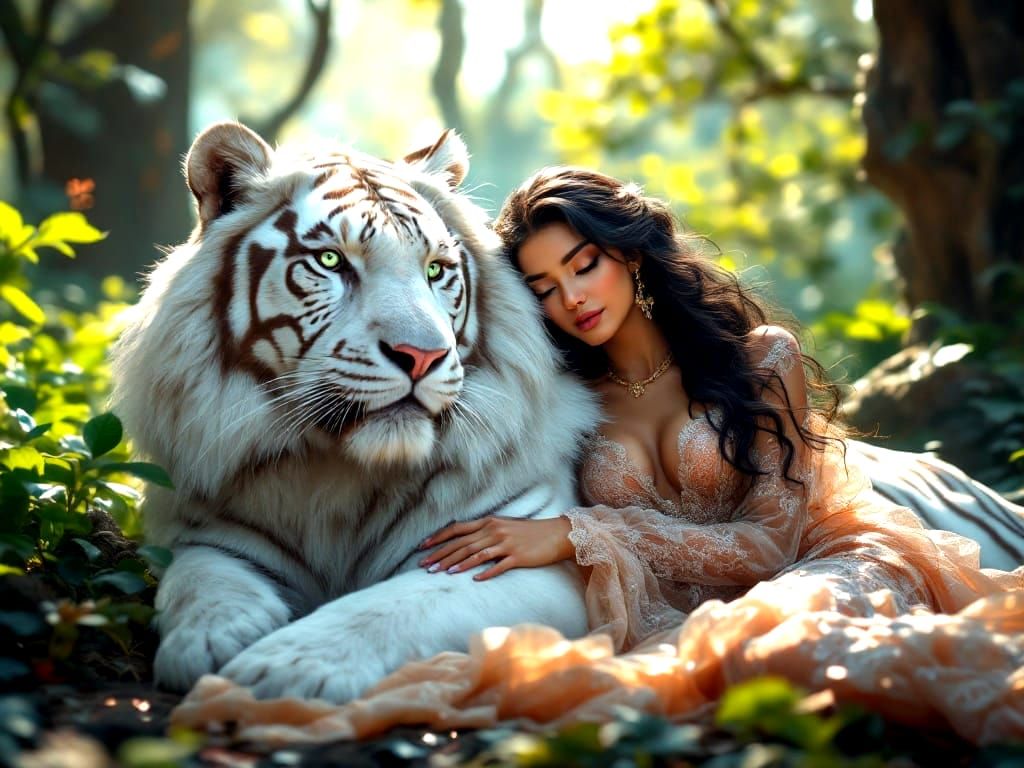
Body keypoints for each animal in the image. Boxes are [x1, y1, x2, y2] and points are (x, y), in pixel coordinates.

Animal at [110, 122, 599, 702]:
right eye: (330, 262)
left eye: (436, 270)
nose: (422, 356)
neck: (337, 474)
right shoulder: (203, 533)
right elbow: (201, 580)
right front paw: (209, 640)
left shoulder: (519, 548)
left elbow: (392, 609)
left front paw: (280, 669)